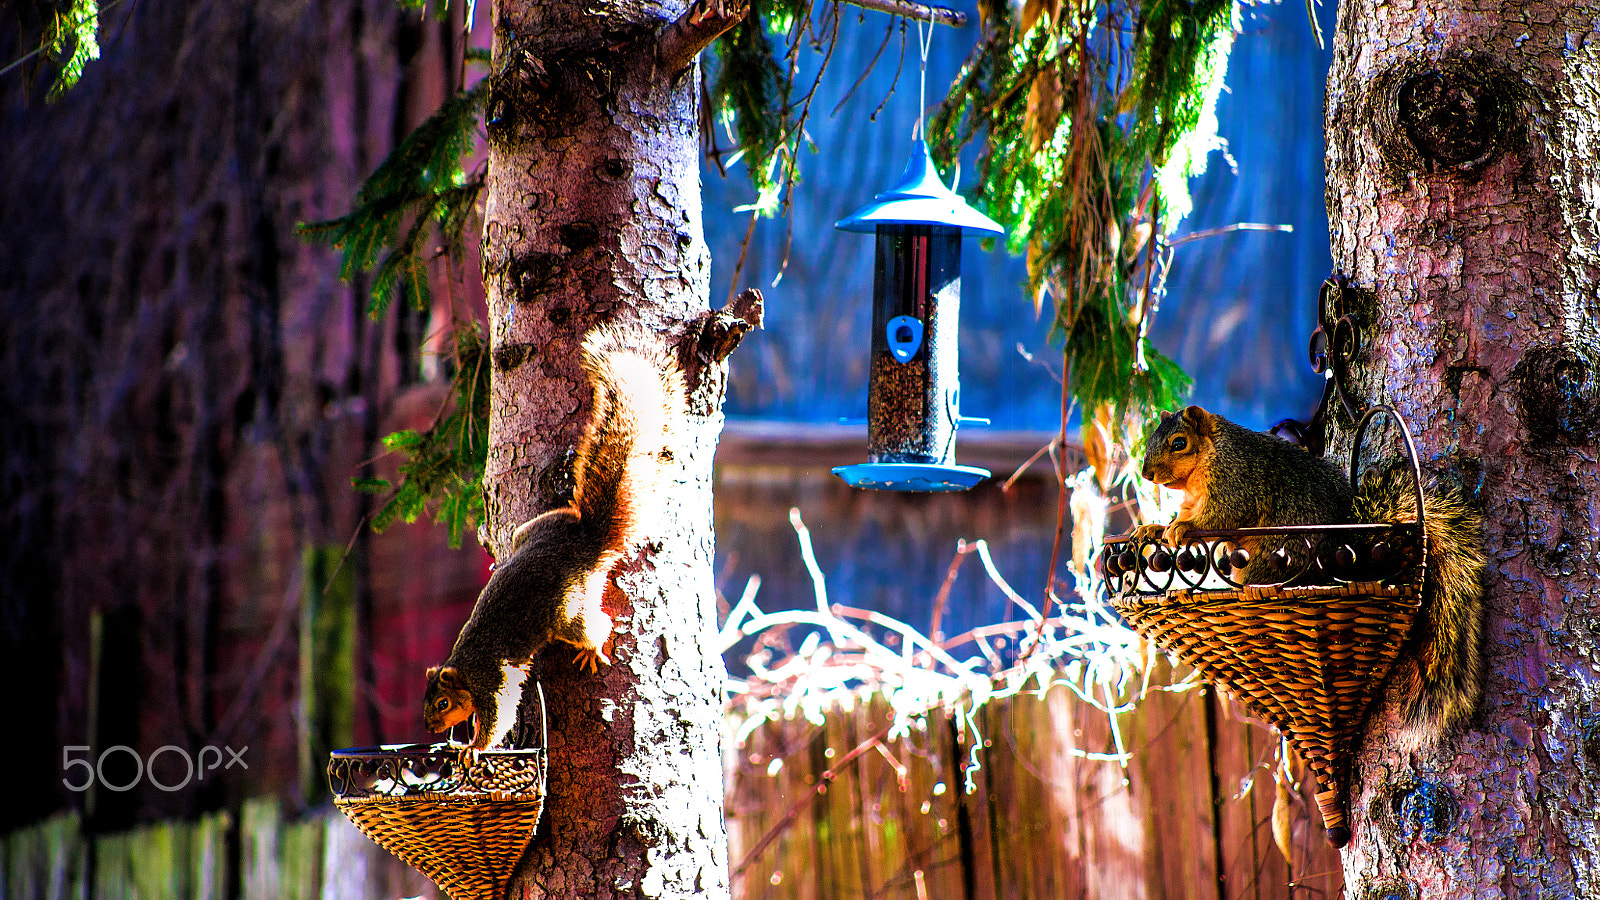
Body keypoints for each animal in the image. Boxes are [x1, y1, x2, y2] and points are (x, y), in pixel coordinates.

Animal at [422, 325, 684, 746]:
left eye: (443, 703)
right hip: (532, 530)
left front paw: (475, 747)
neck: (463, 667)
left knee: (593, 626)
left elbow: (500, 714)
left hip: (569, 608)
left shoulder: (494, 680)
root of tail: (585, 540)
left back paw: (592, 649)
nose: (430, 727)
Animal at [1139, 406, 1484, 743]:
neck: (1203, 466)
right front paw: (1153, 528)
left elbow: (1220, 517)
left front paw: (1182, 527)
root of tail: (1349, 565)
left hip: (1271, 563)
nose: (1146, 474)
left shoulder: (1236, 480)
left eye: (1179, 443)